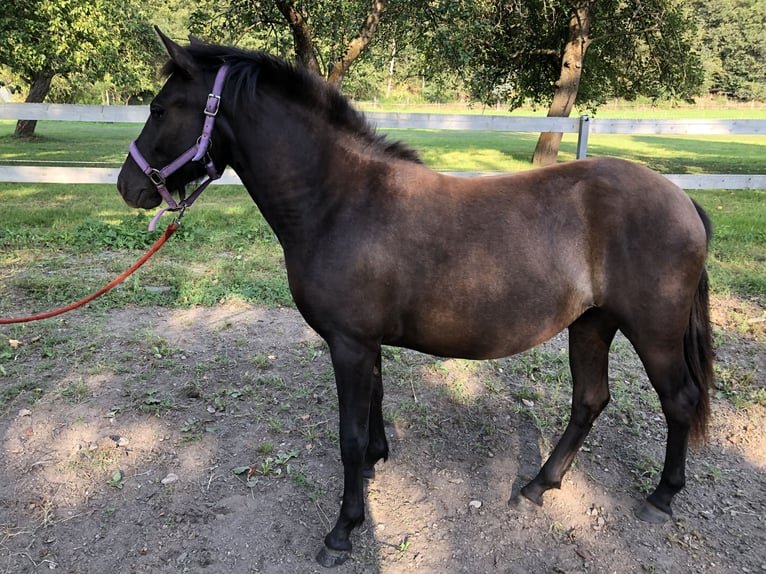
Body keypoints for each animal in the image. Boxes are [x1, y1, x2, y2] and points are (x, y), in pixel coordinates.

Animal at [118, 30, 712, 568]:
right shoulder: (364, 343)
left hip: (652, 332)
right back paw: (539, 486)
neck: (340, 201)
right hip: (591, 323)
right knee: (590, 400)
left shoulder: (349, 344)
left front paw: (343, 531)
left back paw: (660, 497)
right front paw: (377, 462)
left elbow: (349, 434)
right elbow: (374, 407)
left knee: (678, 399)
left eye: (160, 108)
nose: (129, 186)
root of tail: (682, 200)